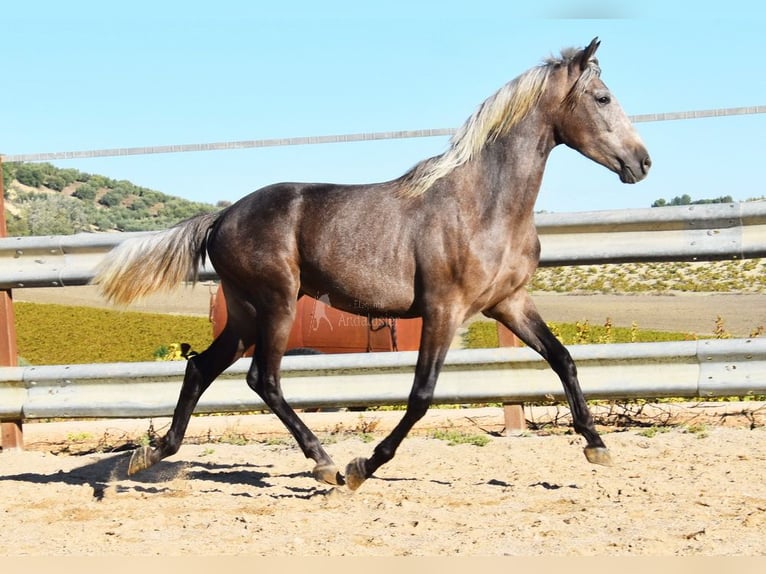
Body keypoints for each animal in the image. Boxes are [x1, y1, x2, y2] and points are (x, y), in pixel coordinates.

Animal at [93, 38, 652, 492]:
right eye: (602, 98)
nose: (643, 163)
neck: (483, 206)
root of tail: (222, 217)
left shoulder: (509, 303)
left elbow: (564, 358)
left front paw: (597, 446)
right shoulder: (444, 309)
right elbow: (422, 395)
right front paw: (364, 466)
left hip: (246, 312)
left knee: (201, 368)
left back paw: (150, 455)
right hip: (275, 305)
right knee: (263, 379)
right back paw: (324, 464)